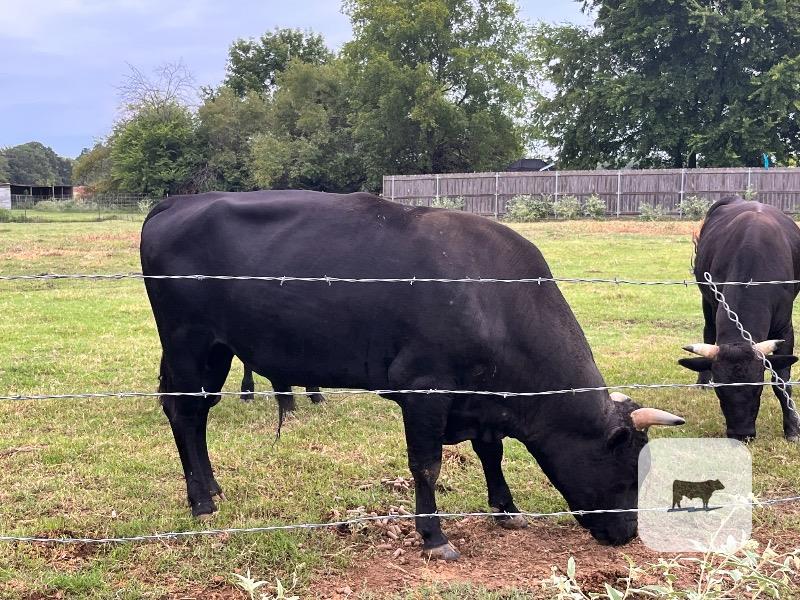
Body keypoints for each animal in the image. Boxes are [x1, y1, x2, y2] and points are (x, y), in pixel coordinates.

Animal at [140, 190, 685, 560]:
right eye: (628, 471)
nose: (628, 535)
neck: (492, 298)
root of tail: (177, 203)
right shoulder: (425, 390)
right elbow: (427, 465)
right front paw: (434, 536)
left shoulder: (481, 398)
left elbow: (491, 452)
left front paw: (506, 510)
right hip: (189, 343)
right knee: (184, 413)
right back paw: (200, 503)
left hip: (216, 352)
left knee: (198, 414)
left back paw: (212, 489)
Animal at [678, 196, 800, 442]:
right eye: (720, 390)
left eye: (757, 387)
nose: (741, 434)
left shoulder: (785, 328)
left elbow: (782, 381)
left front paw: (792, 428)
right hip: (706, 300)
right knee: (709, 331)